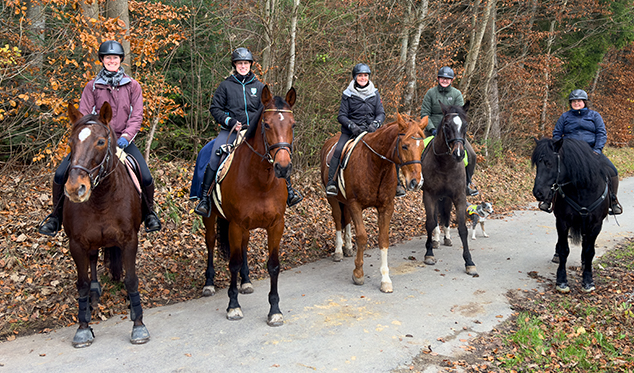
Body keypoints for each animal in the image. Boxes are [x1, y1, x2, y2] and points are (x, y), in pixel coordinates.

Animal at [63, 101, 149, 346]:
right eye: (70, 143)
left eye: (101, 142)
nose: (75, 188)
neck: (102, 197)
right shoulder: (77, 244)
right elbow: (81, 284)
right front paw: (83, 327)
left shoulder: (129, 239)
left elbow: (131, 280)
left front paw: (138, 324)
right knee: (92, 262)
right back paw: (93, 296)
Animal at [201, 85, 296, 324]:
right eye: (266, 124)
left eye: (292, 124)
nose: (283, 167)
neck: (260, 181)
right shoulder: (235, 224)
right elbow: (233, 263)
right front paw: (233, 306)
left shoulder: (275, 225)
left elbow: (273, 265)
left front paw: (275, 310)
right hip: (210, 218)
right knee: (210, 243)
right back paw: (209, 284)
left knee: (243, 246)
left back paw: (245, 281)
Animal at [318, 112, 428, 292]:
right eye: (405, 146)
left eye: (422, 147)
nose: (416, 182)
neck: (376, 165)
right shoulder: (355, 204)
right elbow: (362, 237)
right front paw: (358, 274)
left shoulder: (386, 207)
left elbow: (383, 240)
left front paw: (385, 279)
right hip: (332, 198)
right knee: (338, 220)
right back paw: (339, 251)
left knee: (346, 220)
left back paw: (348, 248)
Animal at [420, 100, 474, 274]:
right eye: (446, 126)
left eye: (465, 125)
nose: (458, 154)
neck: (445, 164)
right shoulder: (429, 195)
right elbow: (430, 223)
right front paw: (429, 254)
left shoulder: (459, 197)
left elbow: (463, 228)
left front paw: (469, 262)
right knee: (436, 218)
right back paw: (436, 239)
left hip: (447, 197)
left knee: (446, 215)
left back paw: (447, 238)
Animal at [532, 138, 608, 292]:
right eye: (537, 163)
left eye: (549, 163)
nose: (538, 193)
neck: (583, 190)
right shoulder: (562, 222)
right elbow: (564, 250)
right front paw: (561, 281)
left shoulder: (596, 225)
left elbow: (589, 251)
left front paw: (588, 280)